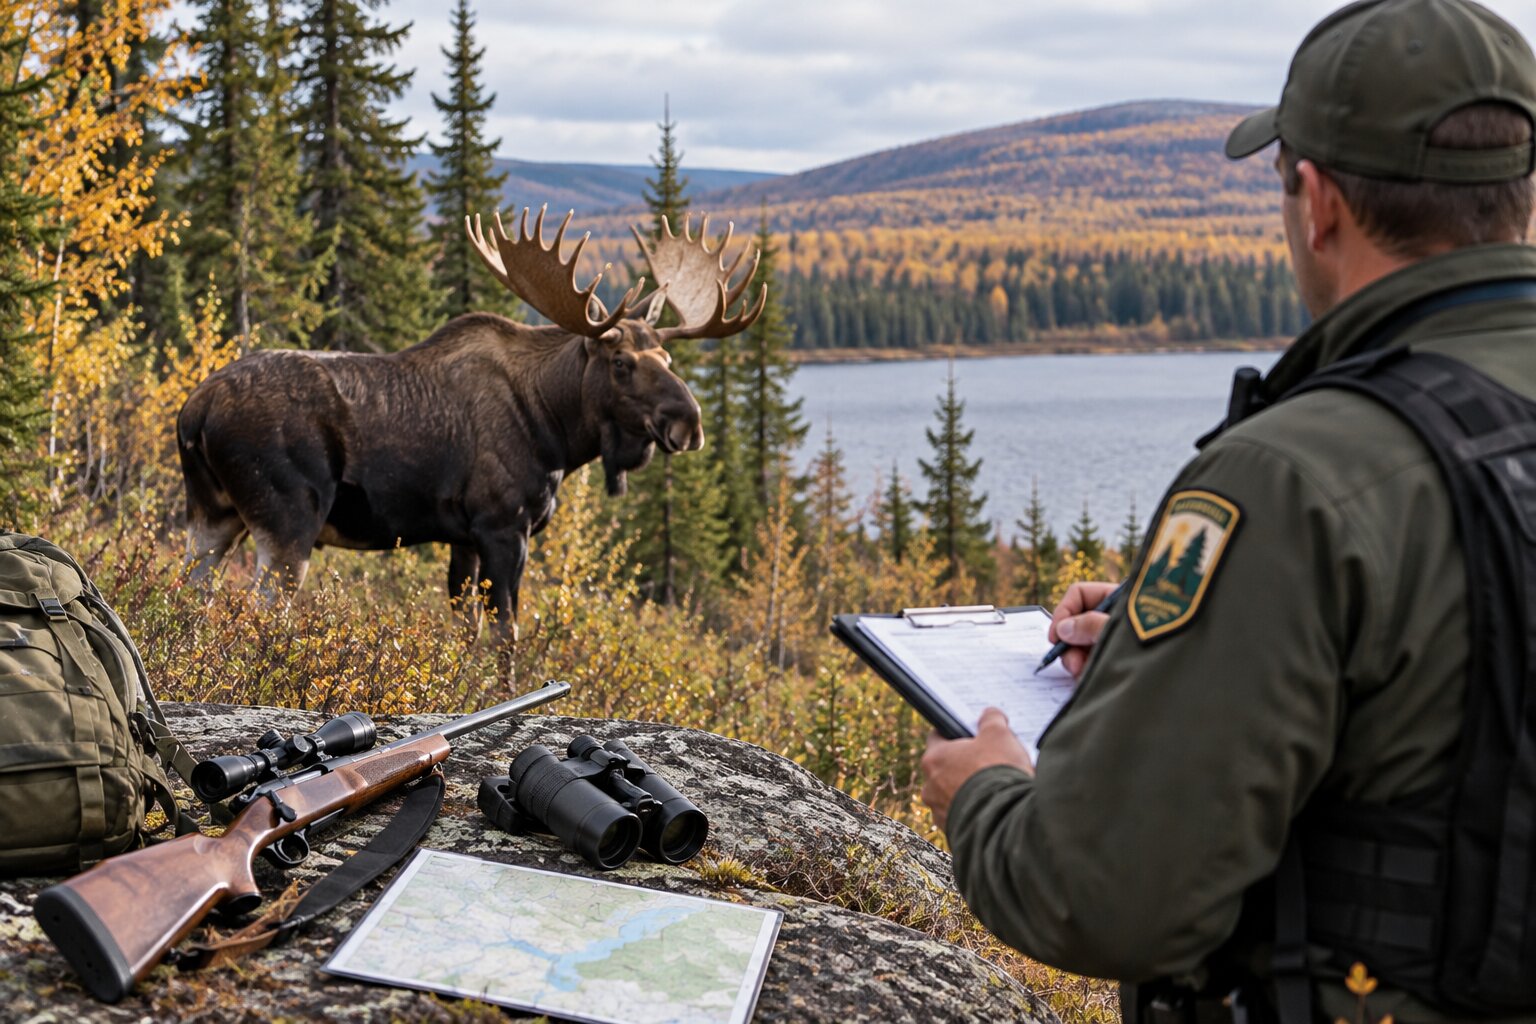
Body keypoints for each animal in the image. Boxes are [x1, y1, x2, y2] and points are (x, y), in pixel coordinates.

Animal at [177, 207, 765, 637]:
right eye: (621, 363)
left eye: (667, 358)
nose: (689, 424)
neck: (555, 433)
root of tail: (194, 413)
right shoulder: (504, 526)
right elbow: (507, 634)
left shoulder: (462, 536)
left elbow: (468, 630)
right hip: (288, 520)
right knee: (260, 607)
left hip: (212, 514)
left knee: (190, 592)